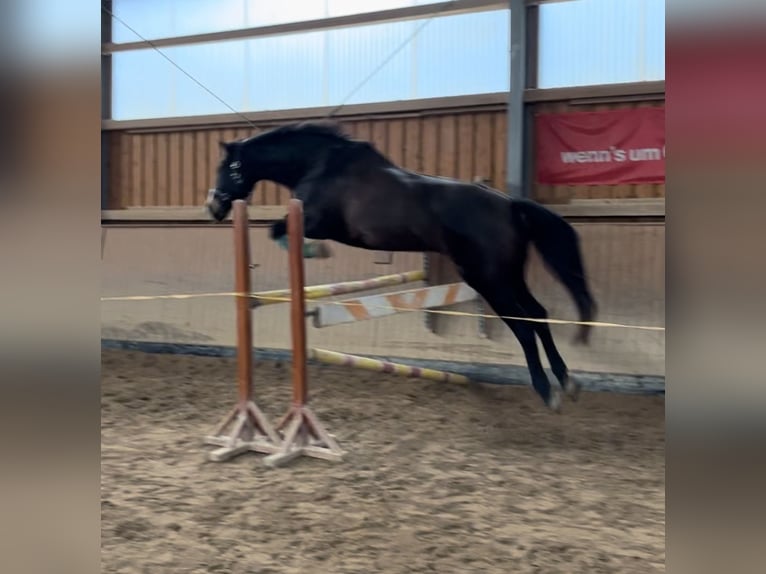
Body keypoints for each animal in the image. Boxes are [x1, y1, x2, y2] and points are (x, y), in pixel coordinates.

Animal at [205, 121, 597, 412]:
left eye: (227, 167)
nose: (214, 206)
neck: (321, 165)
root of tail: (510, 204)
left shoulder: (315, 220)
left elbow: (279, 230)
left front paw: (314, 251)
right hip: (509, 274)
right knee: (538, 314)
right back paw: (567, 381)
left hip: (487, 278)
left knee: (523, 326)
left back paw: (547, 391)